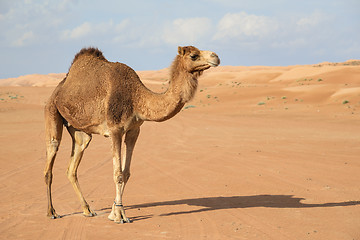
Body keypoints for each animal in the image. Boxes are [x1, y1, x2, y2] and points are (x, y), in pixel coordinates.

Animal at [44, 45, 219, 223]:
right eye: (193, 55)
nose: (216, 57)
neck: (136, 98)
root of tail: (59, 88)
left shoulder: (134, 130)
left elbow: (126, 173)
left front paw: (114, 211)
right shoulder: (115, 130)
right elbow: (118, 174)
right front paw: (119, 215)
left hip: (80, 132)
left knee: (72, 167)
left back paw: (87, 210)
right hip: (51, 111)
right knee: (50, 159)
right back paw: (52, 212)